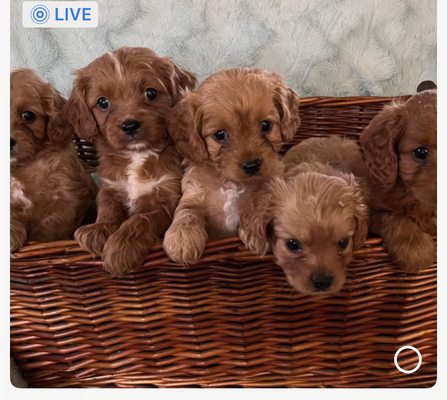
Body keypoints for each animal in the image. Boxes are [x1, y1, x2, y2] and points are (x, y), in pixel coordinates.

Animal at [67, 47, 198, 276]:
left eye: (151, 93)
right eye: (102, 102)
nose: (129, 125)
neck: (137, 155)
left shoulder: (166, 200)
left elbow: (140, 220)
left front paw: (120, 249)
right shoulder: (109, 188)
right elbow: (108, 209)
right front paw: (98, 230)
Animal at [163, 67, 300, 264]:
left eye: (266, 125)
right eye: (220, 135)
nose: (252, 165)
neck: (231, 183)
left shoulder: (271, 182)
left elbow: (257, 201)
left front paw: (255, 234)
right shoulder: (193, 191)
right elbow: (187, 210)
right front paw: (183, 239)